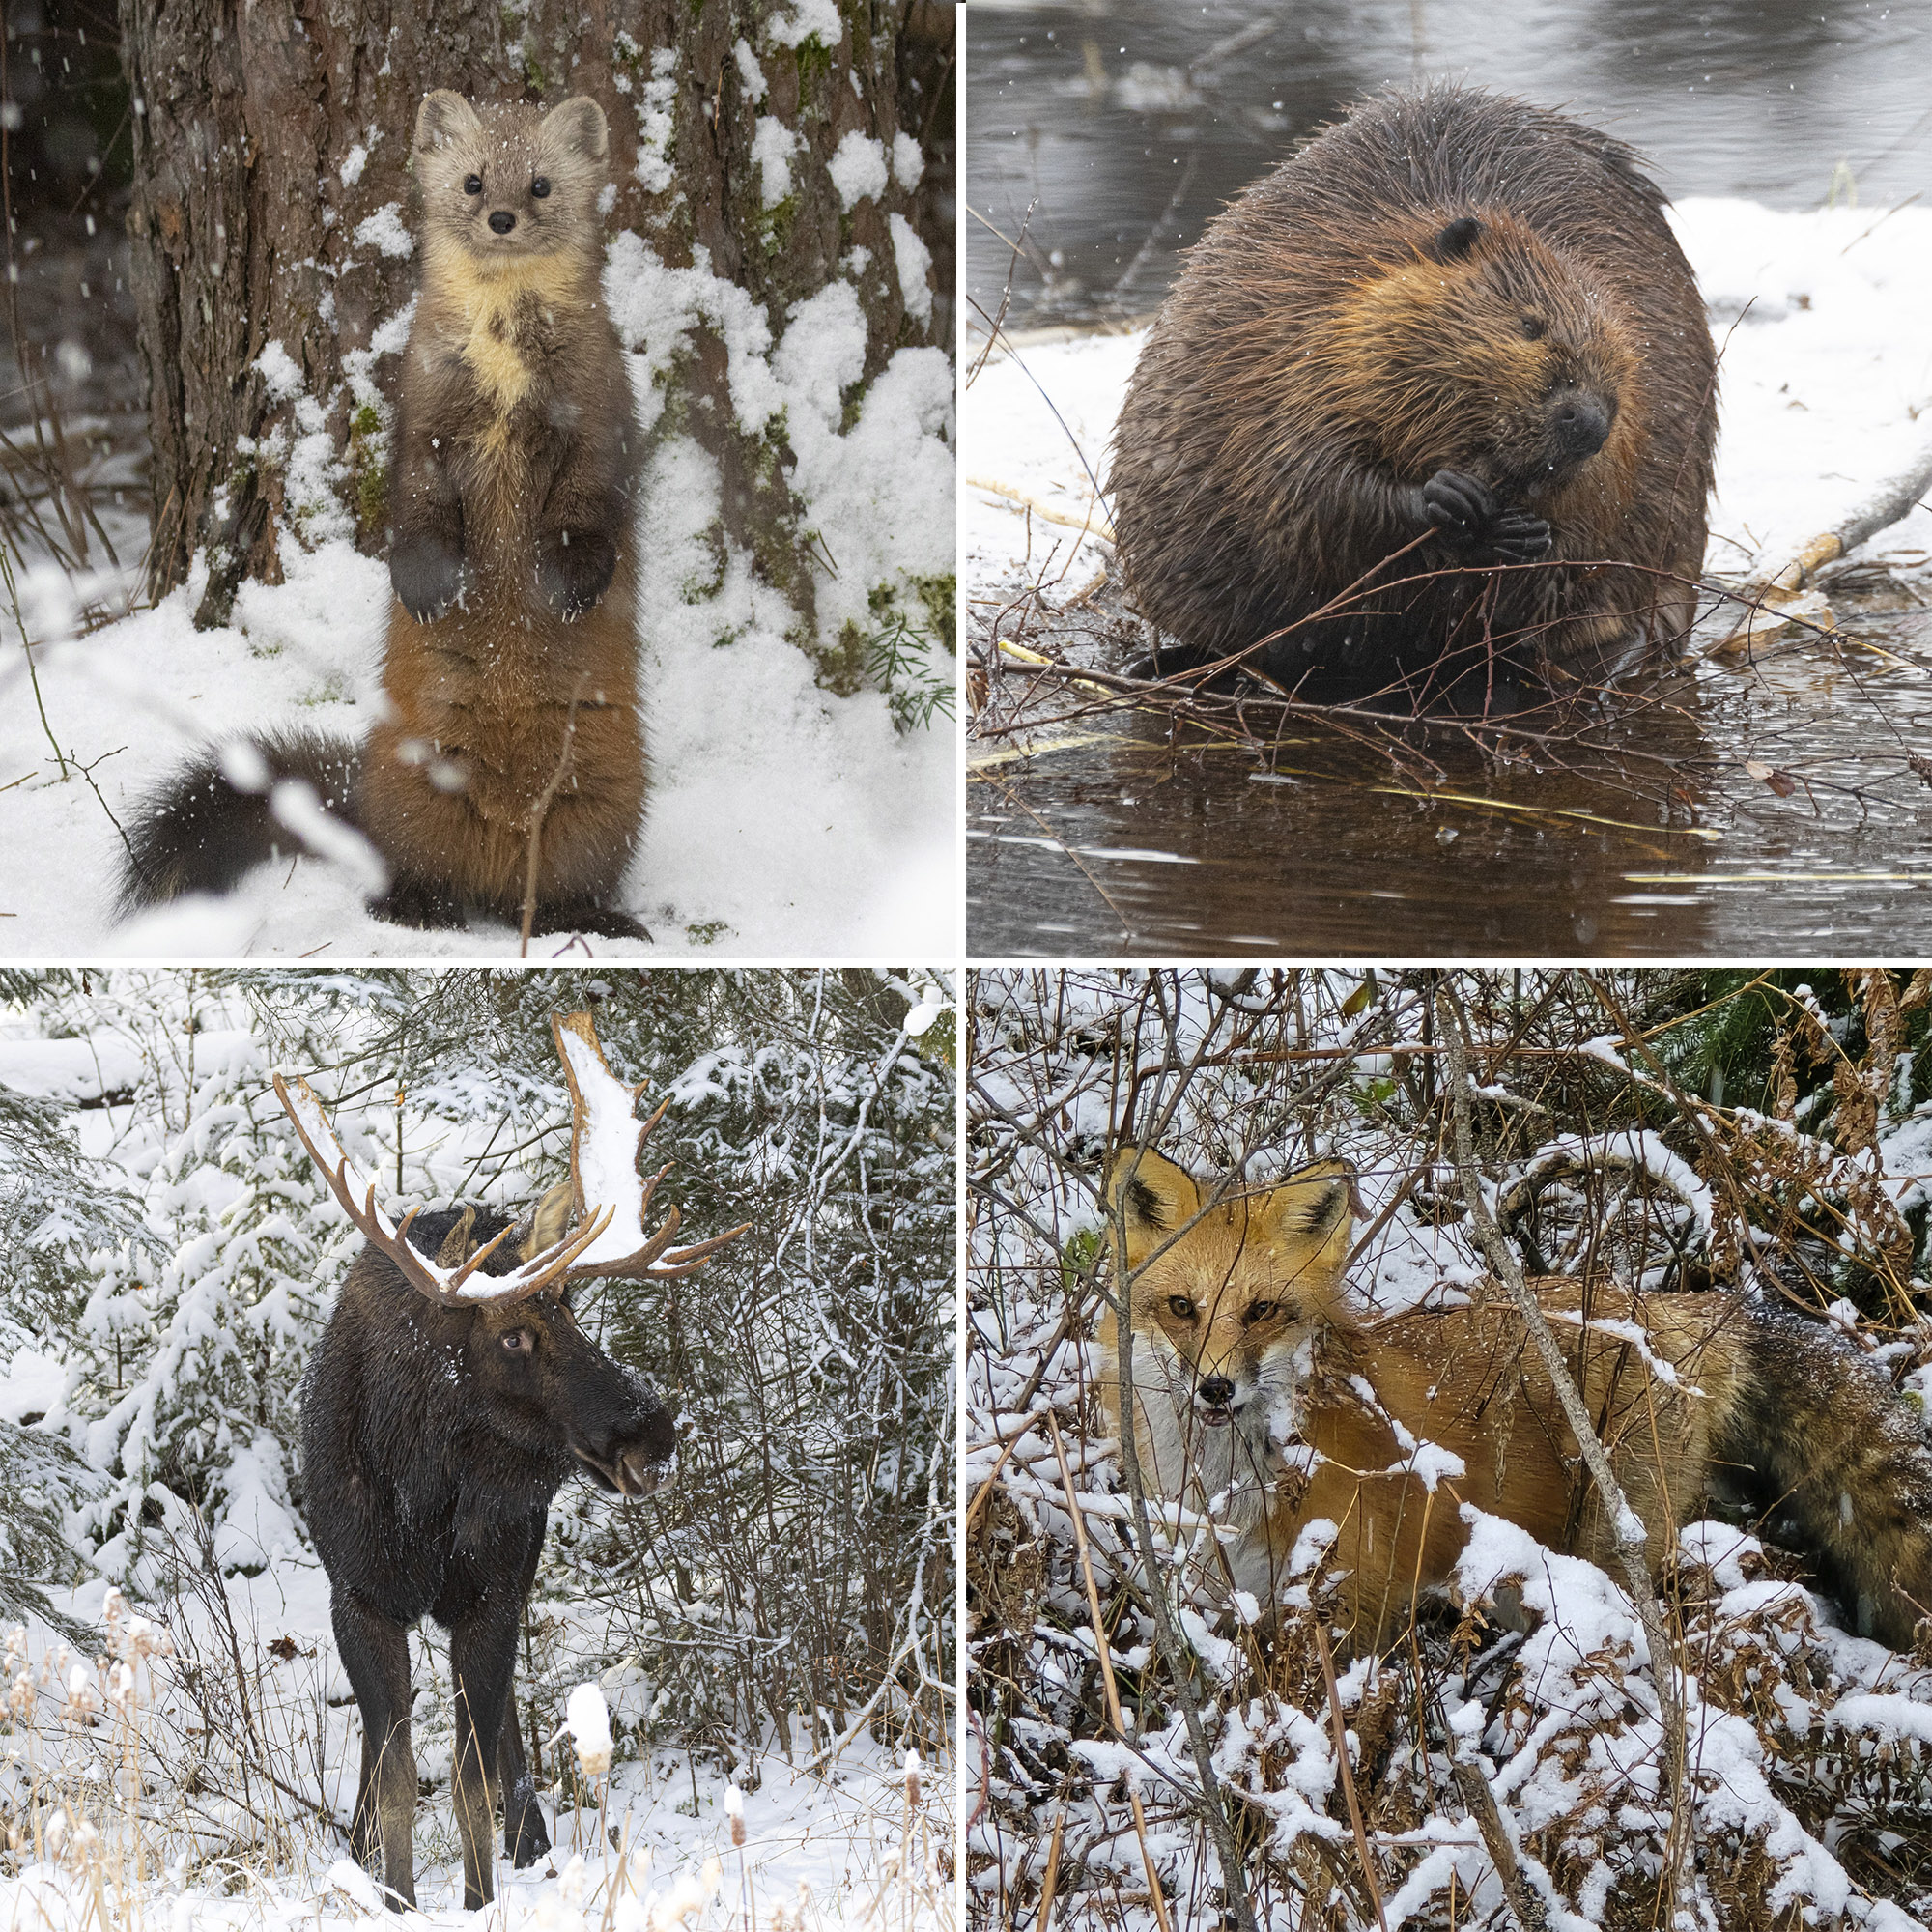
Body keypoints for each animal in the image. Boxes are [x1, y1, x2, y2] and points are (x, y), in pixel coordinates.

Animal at [276, 1020, 742, 1909]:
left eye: (572, 1308)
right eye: (515, 1335)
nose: (654, 1431)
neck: (419, 1491)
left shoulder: (489, 1594)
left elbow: (470, 1774)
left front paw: (481, 1899)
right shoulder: (358, 1596)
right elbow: (394, 1773)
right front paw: (393, 1896)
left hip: (518, 1560)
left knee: (503, 1730)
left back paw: (533, 1842)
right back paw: (356, 1846)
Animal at [1097, 1151, 1932, 1654]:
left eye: (1262, 1311)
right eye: (1182, 1308)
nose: (1214, 1387)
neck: (1237, 1485)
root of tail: (1668, 1309)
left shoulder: (1356, 1602)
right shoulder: (1234, 1594)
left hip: (1609, 1546)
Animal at [1113, 87, 1716, 715]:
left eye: (1625, 358)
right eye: (1530, 325)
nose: (1588, 422)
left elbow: (1595, 517)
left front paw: (1527, 536)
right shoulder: (1295, 342)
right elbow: (1304, 480)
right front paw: (1449, 498)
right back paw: (1176, 663)